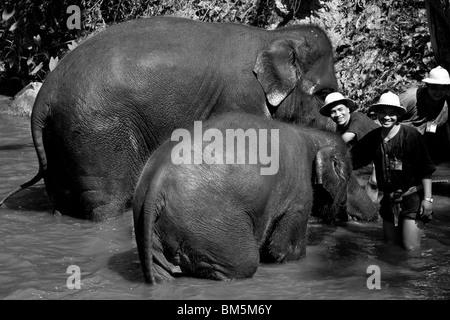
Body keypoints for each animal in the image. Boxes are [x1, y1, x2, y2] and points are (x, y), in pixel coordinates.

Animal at [134, 112, 358, 282]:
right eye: (348, 176)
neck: (311, 134)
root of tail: (157, 181)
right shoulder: (299, 194)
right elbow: (284, 249)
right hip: (209, 223)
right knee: (244, 263)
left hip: (151, 227)